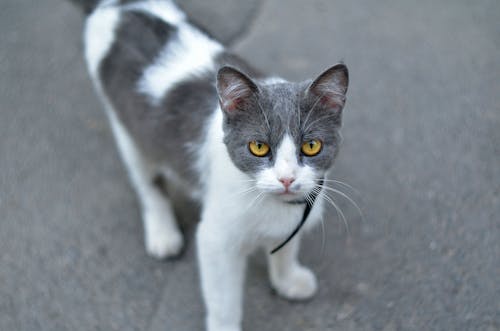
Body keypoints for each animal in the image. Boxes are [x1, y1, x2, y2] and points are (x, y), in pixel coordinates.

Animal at [80, 1, 350, 330]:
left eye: (312, 146)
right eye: (258, 147)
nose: (286, 179)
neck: (271, 203)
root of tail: (118, 6)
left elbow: (285, 247)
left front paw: (287, 280)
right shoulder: (216, 240)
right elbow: (224, 299)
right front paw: (226, 323)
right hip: (128, 129)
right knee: (147, 181)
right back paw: (162, 233)